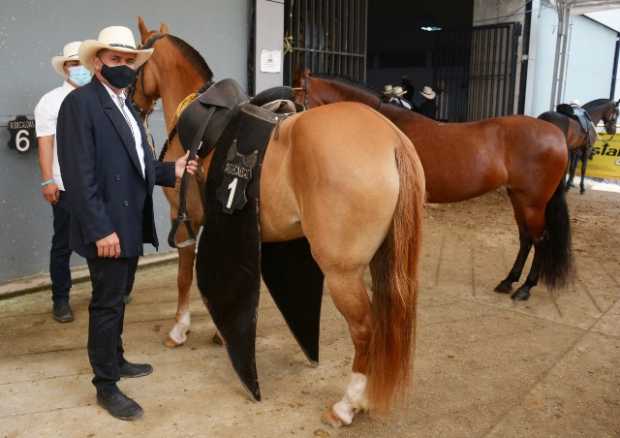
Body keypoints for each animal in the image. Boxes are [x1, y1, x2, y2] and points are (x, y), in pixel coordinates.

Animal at [133, 19, 428, 424]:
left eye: (134, 60)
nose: (132, 103)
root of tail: (392, 138)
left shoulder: (187, 222)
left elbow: (183, 277)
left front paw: (180, 330)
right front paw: (220, 334)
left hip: (341, 272)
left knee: (365, 328)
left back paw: (347, 404)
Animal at [298, 71, 572, 302]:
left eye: (298, 102)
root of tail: (556, 135)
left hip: (533, 202)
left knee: (540, 239)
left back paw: (525, 288)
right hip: (518, 197)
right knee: (526, 238)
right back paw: (508, 282)